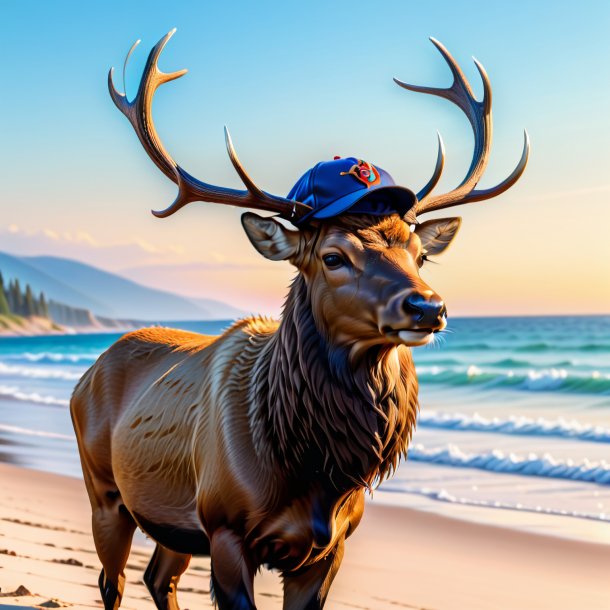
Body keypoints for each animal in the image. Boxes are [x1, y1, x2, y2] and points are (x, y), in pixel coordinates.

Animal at [70, 32, 528, 608]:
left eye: (421, 253)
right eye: (333, 256)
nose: (428, 307)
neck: (313, 470)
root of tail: (87, 373)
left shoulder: (330, 546)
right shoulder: (225, 528)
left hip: (174, 523)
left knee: (159, 576)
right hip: (104, 490)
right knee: (112, 582)